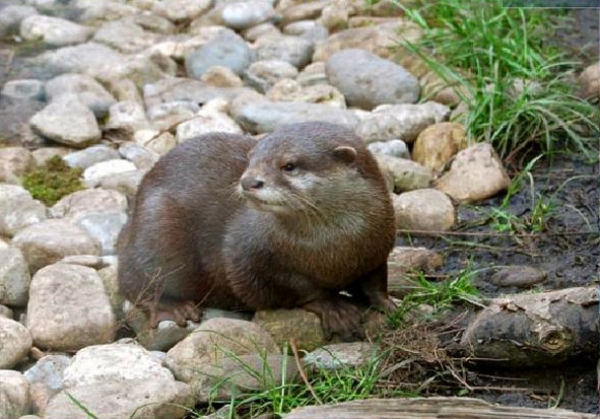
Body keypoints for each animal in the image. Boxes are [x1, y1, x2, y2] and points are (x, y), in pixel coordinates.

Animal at [119, 121, 396, 342]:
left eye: (289, 165)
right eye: (250, 160)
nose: (249, 181)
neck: (334, 247)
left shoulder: (376, 249)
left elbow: (375, 281)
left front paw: (389, 304)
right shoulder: (248, 257)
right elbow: (296, 287)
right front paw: (335, 308)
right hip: (156, 228)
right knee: (133, 281)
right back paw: (174, 307)